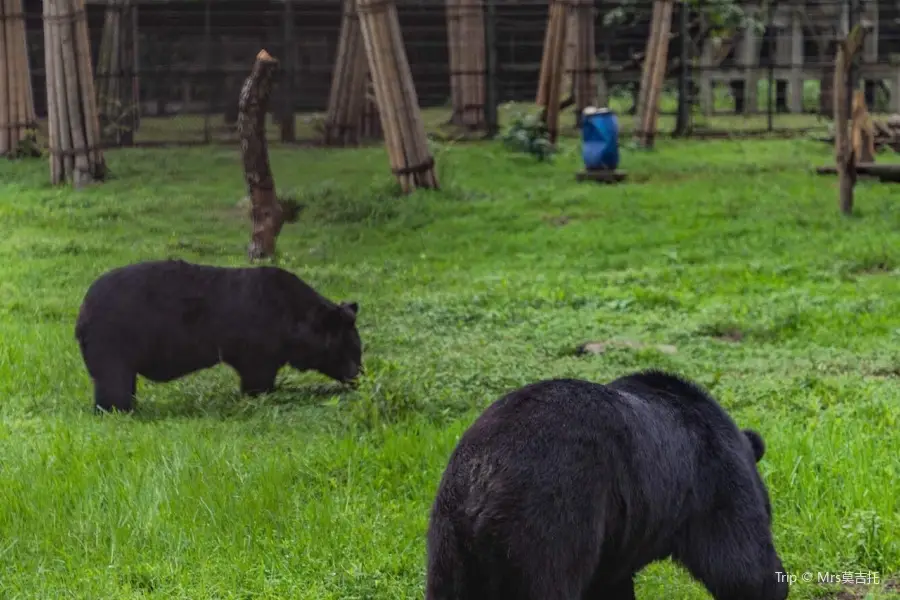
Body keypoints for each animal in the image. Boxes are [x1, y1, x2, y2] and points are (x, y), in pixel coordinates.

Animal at [74, 258, 362, 412]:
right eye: (347, 349)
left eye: (358, 349)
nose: (358, 376)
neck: (293, 317)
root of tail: (82, 312)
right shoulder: (257, 345)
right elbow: (257, 375)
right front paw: (261, 397)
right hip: (114, 341)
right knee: (113, 381)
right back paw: (116, 410)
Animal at [426, 370, 784, 600]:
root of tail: (483, 473)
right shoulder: (710, 480)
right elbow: (741, 563)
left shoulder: (617, 540)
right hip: (549, 520)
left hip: (450, 540)